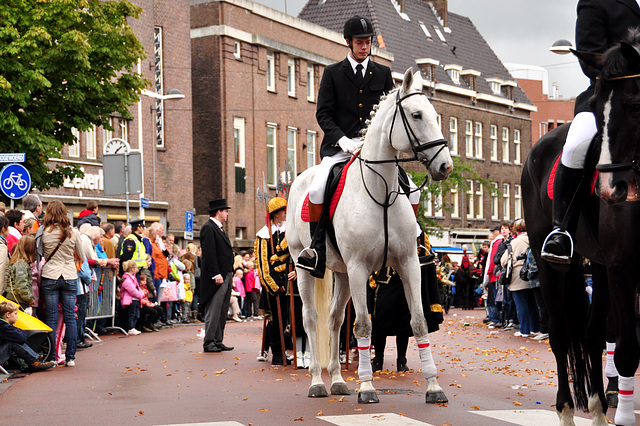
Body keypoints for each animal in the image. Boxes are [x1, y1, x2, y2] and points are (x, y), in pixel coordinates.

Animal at [288, 69, 452, 402]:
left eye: (435, 115)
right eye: (416, 115)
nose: (445, 166)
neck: (380, 192)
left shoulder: (408, 263)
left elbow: (418, 322)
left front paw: (433, 386)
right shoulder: (359, 268)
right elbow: (364, 326)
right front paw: (366, 386)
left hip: (341, 274)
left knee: (334, 319)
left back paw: (338, 380)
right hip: (306, 267)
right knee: (311, 318)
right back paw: (317, 382)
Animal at [524, 30, 640, 426]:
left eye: (635, 104)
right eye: (600, 108)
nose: (611, 189)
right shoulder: (623, 265)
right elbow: (627, 352)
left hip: (600, 267)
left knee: (591, 335)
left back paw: (598, 407)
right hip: (550, 262)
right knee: (561, 335)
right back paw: (566, 410)